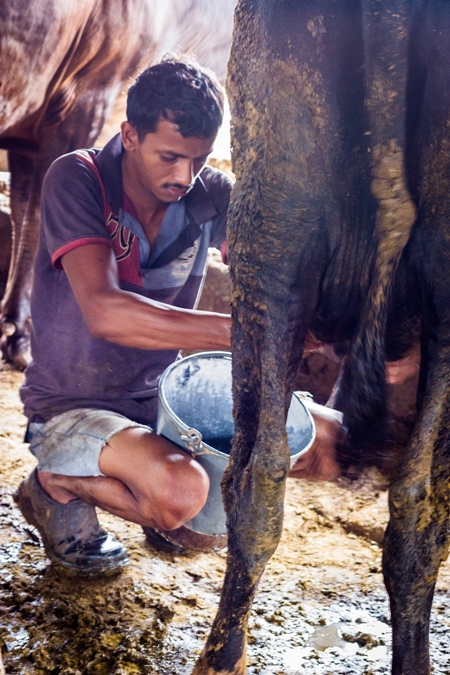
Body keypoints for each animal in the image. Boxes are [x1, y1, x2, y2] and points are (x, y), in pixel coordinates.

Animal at [0, 0, 237, 370]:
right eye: (168, 156)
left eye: (200, 159)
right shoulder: (86, 97)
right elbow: (36, 216)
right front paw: (21, 337)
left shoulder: (29, 133)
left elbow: (23, 210)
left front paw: (12, 325)